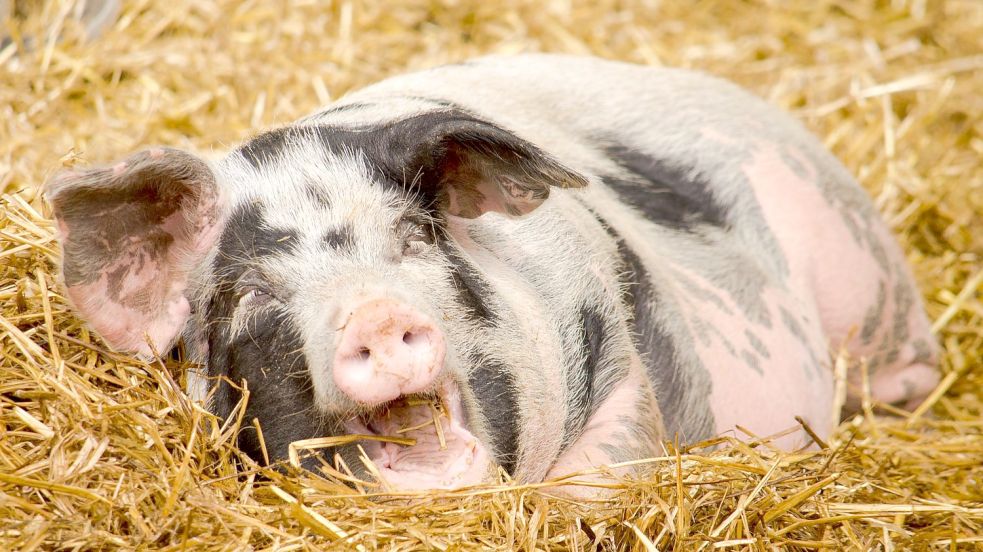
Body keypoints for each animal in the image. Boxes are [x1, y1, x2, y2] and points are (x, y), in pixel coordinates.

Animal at [46, 54, 939, 490]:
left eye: (411, 238)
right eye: (253, 293)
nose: (376, 316)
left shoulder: (618, 340)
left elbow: (597, 475)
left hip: (863, 267)